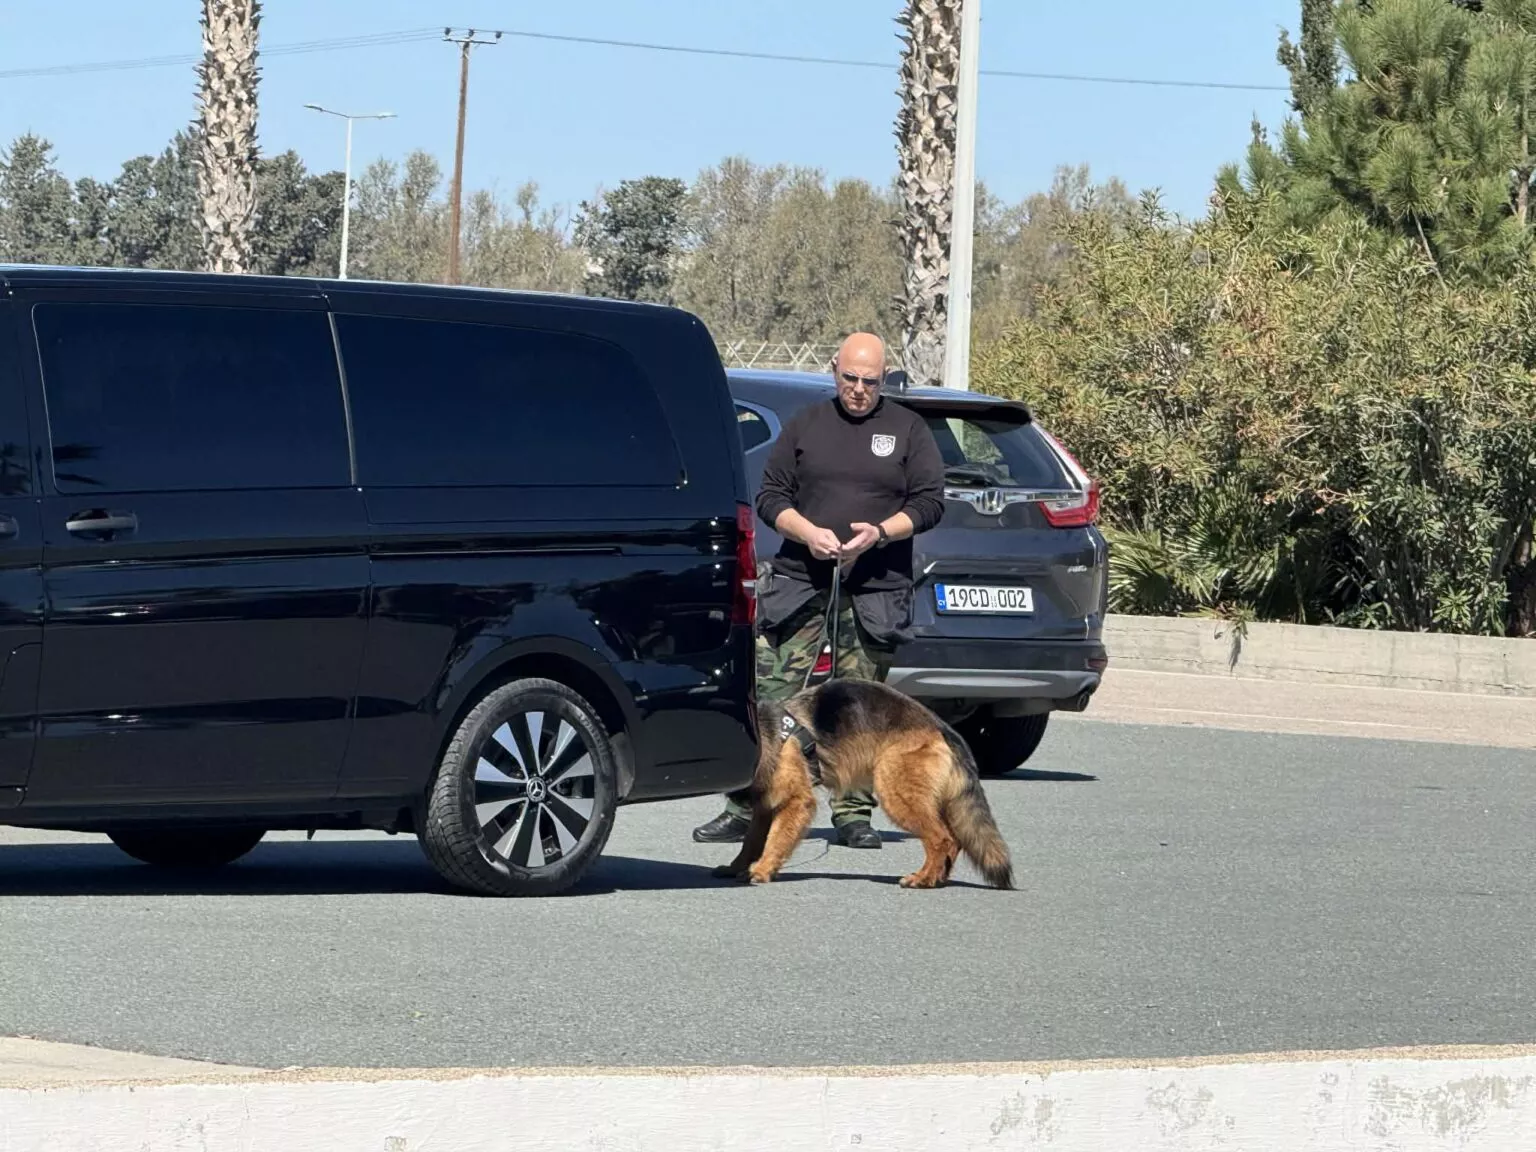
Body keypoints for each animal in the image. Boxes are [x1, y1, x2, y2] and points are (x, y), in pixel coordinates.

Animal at [712, 677, 1015, 890]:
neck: (771, 735)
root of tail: (944, 729)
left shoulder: (796, 803)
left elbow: (775, 840)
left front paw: (762, 869)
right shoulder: (765, 808)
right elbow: (752, 841)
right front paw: (738, 866)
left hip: (896, 794)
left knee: (941, 839)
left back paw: (923, 878)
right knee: (953, 841)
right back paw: (937, 878)